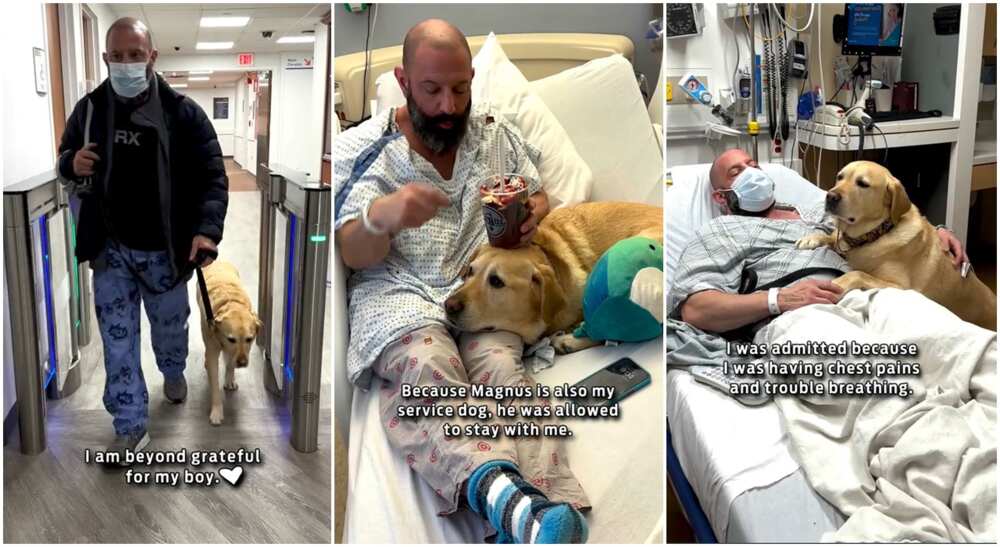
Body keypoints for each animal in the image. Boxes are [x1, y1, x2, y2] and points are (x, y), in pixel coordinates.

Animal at [195, 260, 262, 426]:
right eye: (231, 339)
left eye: (250, 339)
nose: (242, 363)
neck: (230, 303)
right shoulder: (214, 350)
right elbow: (214, 385)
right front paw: (217, 411)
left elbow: (230, 363)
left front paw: (230, 378)